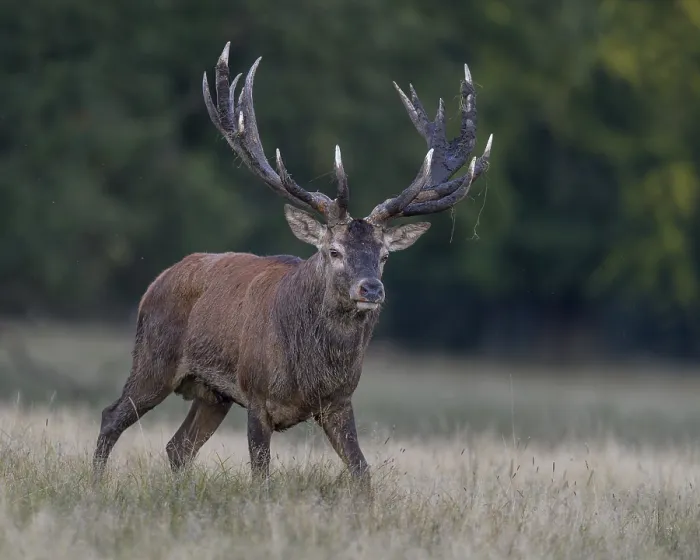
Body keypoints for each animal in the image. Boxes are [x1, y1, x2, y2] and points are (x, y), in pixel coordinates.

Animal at [92, 42, 492, 492]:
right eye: (333, 250)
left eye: (385, 255)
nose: (371, 289)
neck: (311, 371)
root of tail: (157, 281)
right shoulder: (257, 396)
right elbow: (261, 475)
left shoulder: (339, 402)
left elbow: (362, 473)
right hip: (154, 358)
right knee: (112, 416)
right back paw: (95, 483)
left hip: (213, 394)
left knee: (178, 447)